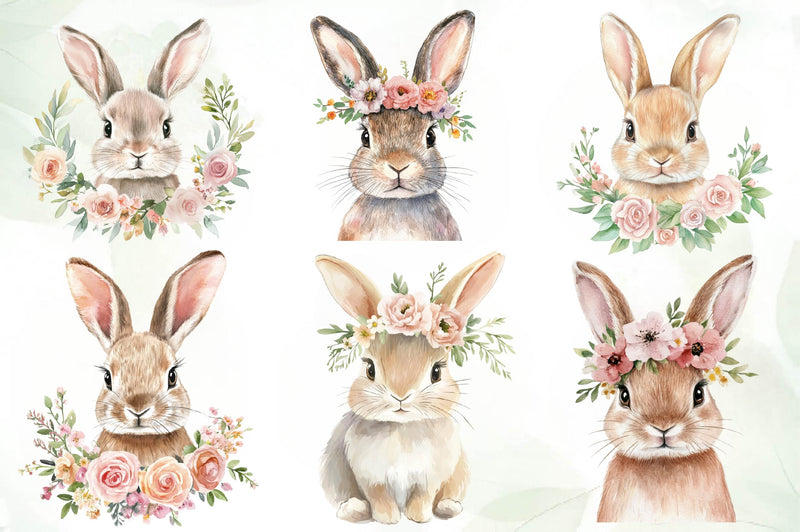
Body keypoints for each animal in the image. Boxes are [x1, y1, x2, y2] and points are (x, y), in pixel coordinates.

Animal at [315, 252, 505, 523]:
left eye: (437, 372)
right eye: (370, 369)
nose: (400, 396)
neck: (402, 428)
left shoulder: (430, 478)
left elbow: (422, 497)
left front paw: (418, 518)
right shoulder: (370, 478)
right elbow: (379, 498)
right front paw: (388, 519)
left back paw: (449, 507)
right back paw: (353, 509)